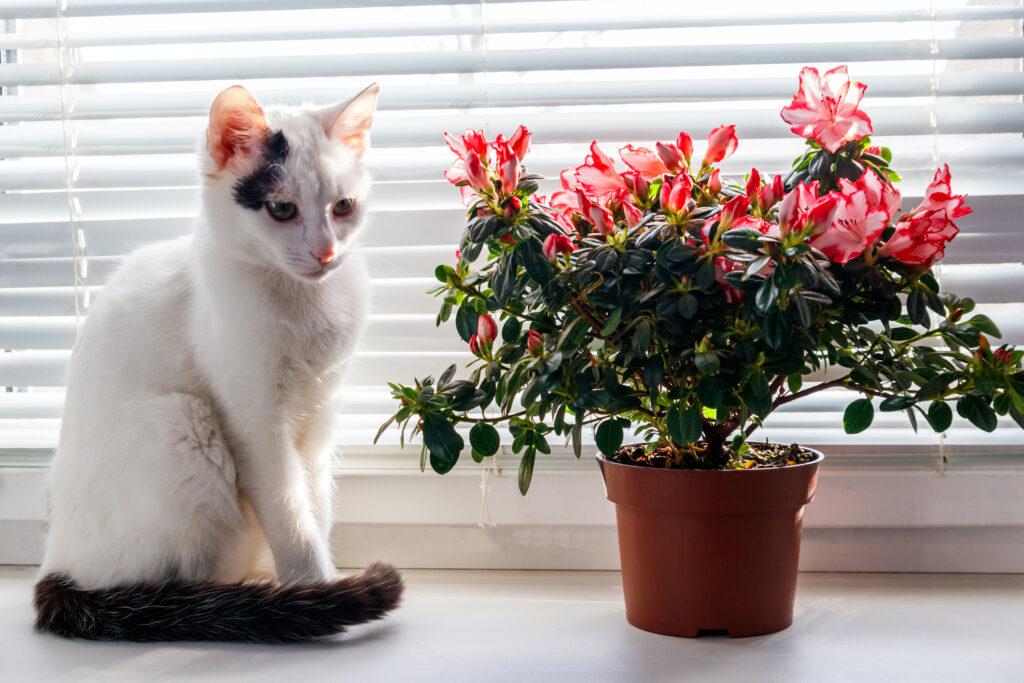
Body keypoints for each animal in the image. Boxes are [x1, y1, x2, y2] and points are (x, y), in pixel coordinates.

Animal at [33, 82, 399, 643]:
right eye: (281, 209)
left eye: (343, 206)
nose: (326, 253)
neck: (304, 307)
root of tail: (55, 563)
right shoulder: (255, 424)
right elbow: (290, 513)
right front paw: (315, 588)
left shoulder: (319, 420)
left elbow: (315, 506)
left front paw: (322, 581)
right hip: (183, 420)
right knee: (174, 585)